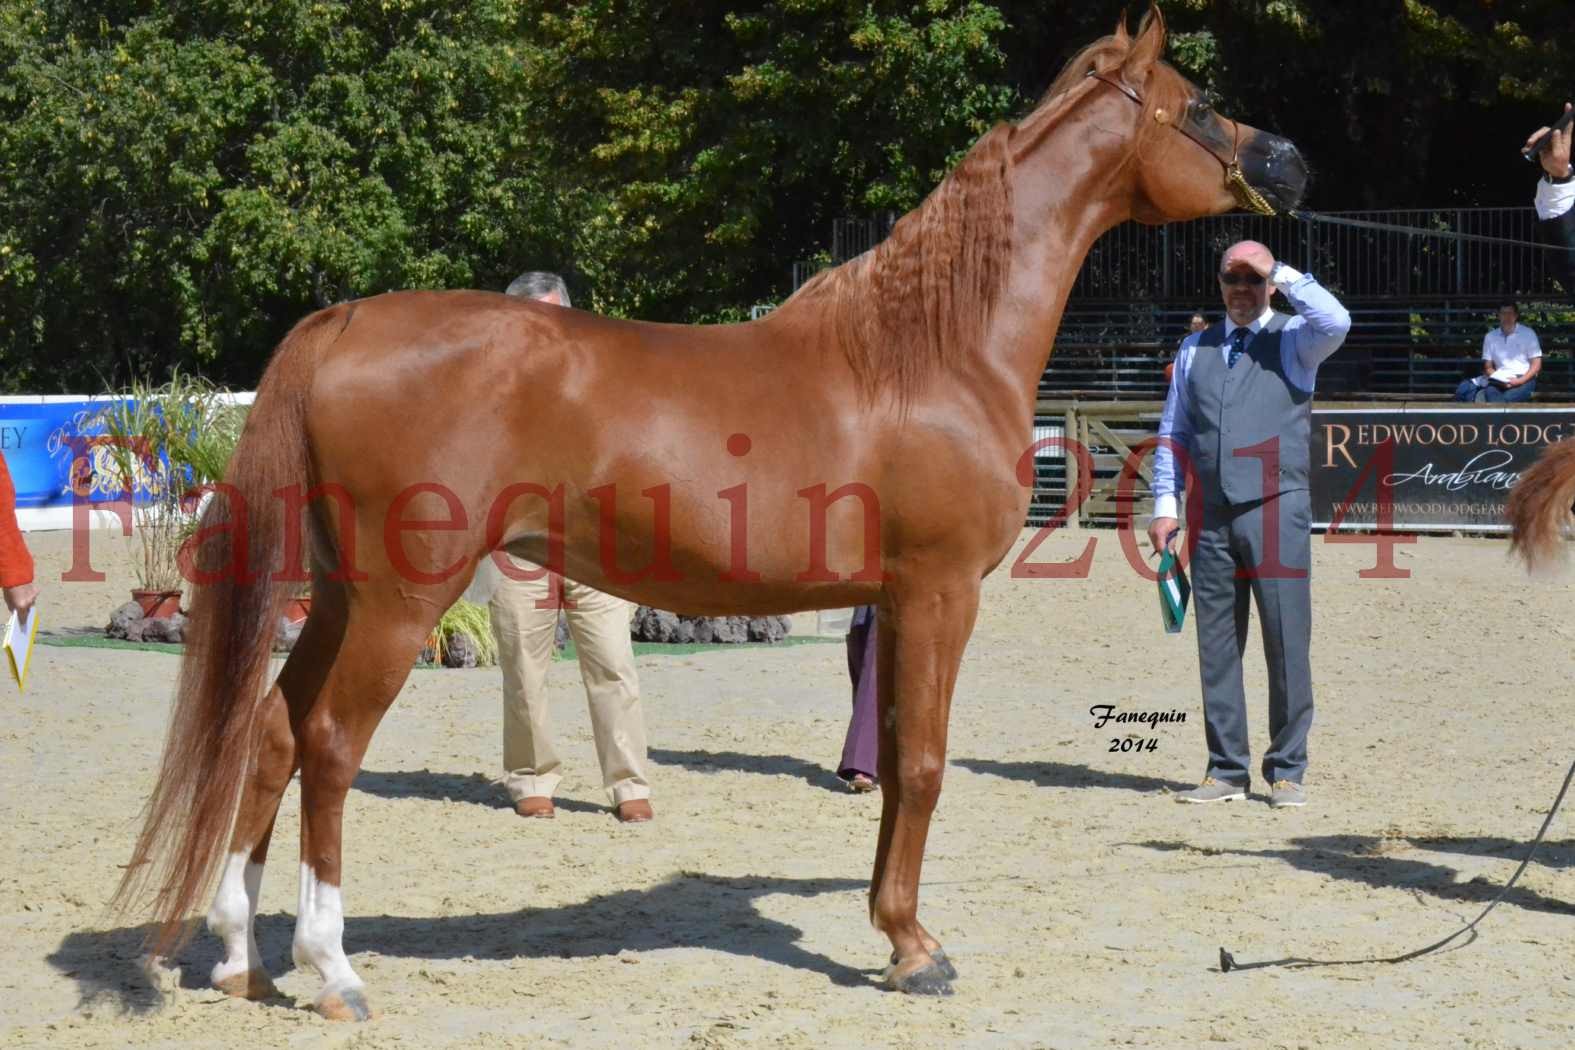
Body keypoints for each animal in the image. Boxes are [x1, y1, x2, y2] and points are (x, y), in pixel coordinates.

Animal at [116, 10, 1310, 1020]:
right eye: (1200, 101)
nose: (1289, 163)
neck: (927, 350)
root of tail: (341, 322)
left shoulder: (895, 603)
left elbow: (892, 766)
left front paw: (894, 931)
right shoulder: (938, 593)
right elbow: (923, 765)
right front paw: (916, 951)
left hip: (337, 595)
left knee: (271, 732)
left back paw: (239, 960)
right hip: (399, 601)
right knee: (325, 745)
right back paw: (332, 971)